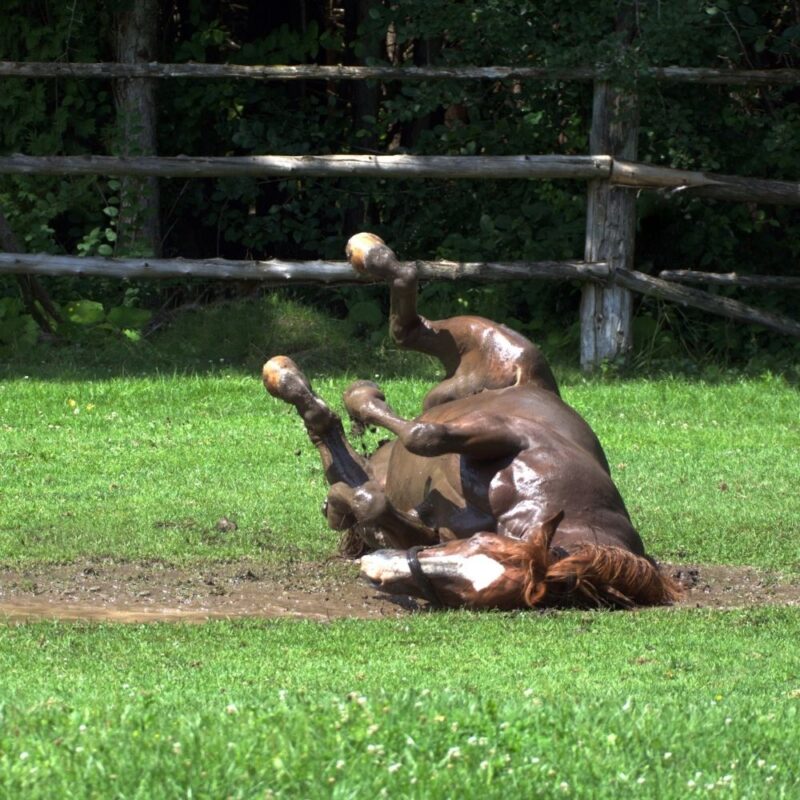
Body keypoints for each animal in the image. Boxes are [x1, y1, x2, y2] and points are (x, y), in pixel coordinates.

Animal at [264, 234, 680, 608]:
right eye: (482, 547)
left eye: (470, 594)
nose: (376, 571)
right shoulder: (508, 432)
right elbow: (422, 433)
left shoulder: (426, 530)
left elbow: (377, 503)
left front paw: (341, 506)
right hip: (491, 342)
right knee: (409, 327)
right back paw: (368, 262)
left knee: (328, 431)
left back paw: (305, 391)